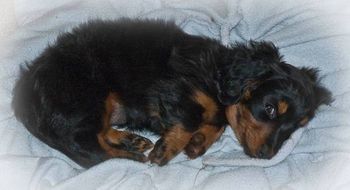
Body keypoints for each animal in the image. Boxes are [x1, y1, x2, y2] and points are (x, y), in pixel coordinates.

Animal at [11, 18, 334, 168]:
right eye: (269, 109)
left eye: (296, 127)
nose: (266, 156)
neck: (214, 72)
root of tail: (24, 96)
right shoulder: (174, 85)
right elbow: (191, 118)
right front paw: (167, 149)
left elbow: (216, 120)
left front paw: (199, 142)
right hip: (85, 95)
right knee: (87, 148)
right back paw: (133, 156)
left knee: (96, 135)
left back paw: (130, 140)